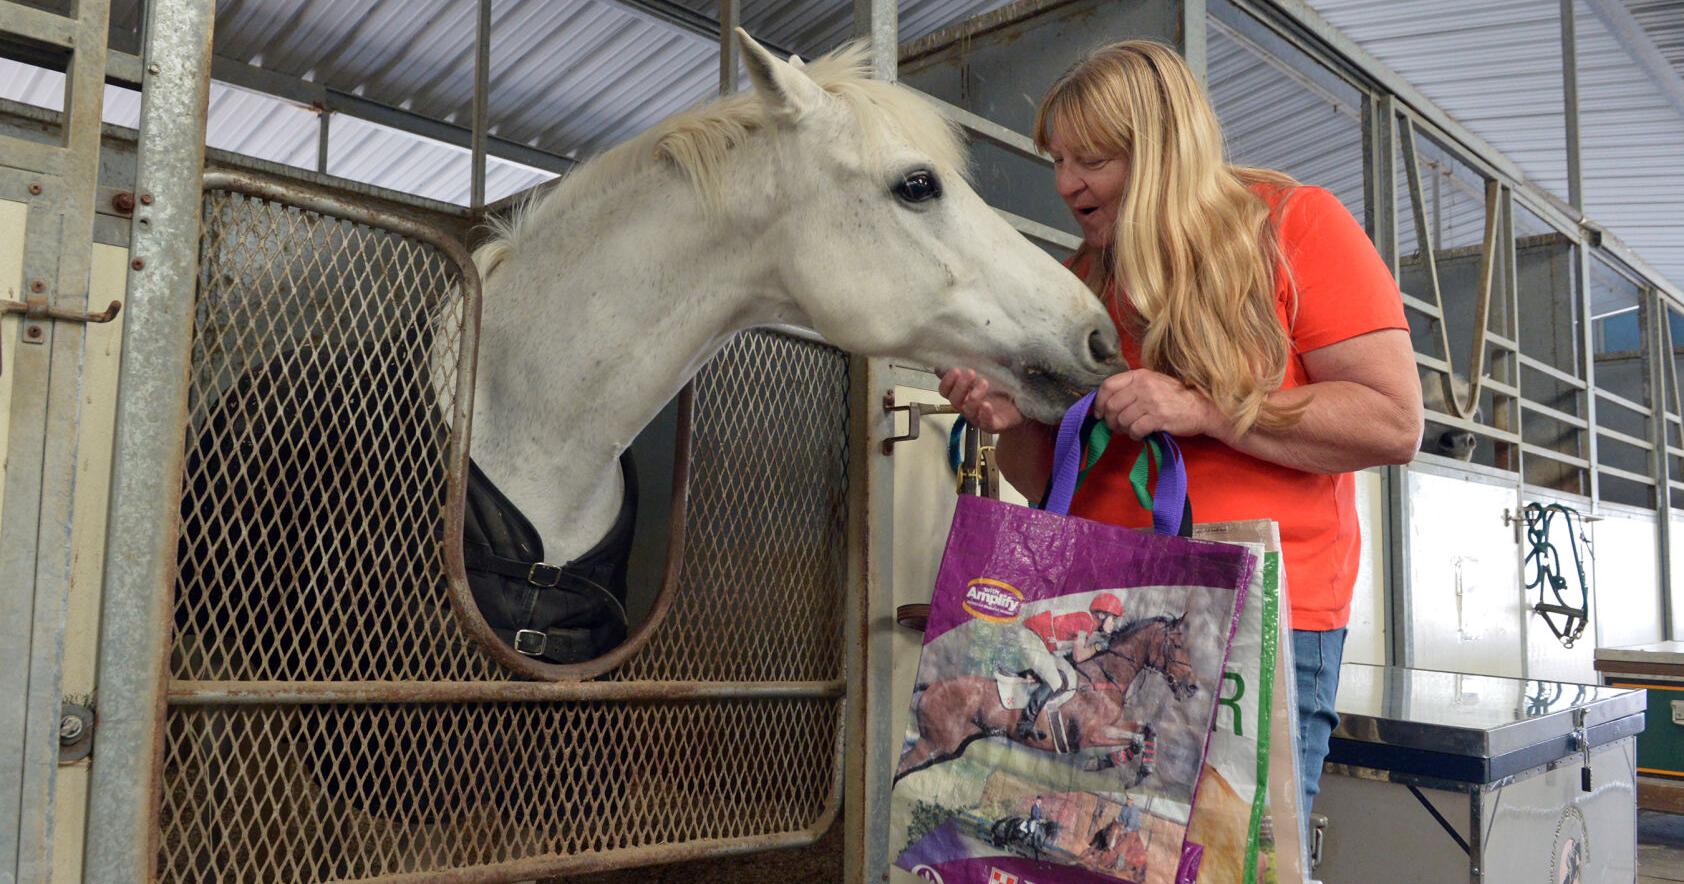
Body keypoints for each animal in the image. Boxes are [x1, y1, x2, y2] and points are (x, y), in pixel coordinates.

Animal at [893, 614, 1197, 785]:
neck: (1107, 676)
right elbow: (1134, 739)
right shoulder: (1091, 735)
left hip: (948, 749)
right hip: (934, 743)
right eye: (1178, 645)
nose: (1192, 687)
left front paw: (1144, 770)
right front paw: (1099, 763)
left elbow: (1147, 729)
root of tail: (933, 685)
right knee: (901, 766)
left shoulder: (1114, 724)